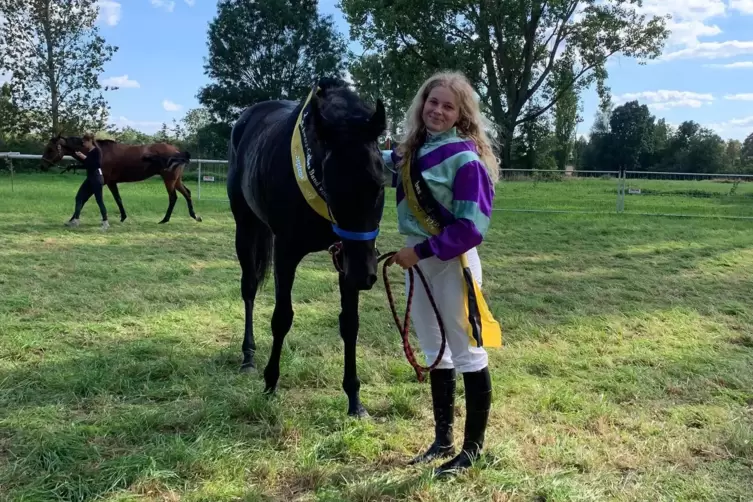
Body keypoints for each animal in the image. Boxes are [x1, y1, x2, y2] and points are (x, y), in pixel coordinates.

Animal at [40, 136, 200, 225]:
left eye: (50, 149)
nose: (42, 166)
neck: (99, 152)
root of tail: (178, 151)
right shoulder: (111, 182)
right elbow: (118, 199)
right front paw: (123, 217)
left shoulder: (102, 182)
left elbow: (84, 198)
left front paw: (73, 218)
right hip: (176, 180)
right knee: (187, 193)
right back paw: (195, 216)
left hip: (169, 180)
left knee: (173, 197)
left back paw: (165, 220)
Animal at [226, 77, 384, 416]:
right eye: (333, 185)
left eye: (379, 185)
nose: (365, 275)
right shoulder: (286, 253)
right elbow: (281, 317)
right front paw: (270, 384)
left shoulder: (346, 257)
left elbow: (349, 323)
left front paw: (354, 399)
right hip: (245, 228)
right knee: (249, 288)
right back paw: (248, 357)